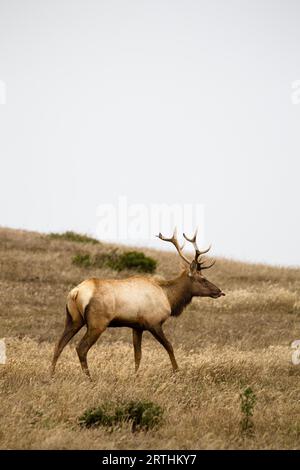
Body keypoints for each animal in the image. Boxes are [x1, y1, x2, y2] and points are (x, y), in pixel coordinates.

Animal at [50, 229, 224, 380]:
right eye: (203, 279)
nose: (220, 291)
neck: (169, 297)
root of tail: (76, 292)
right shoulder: (154, 323)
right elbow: (169, 346)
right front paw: (176, 372)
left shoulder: (137, 326)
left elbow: (138, 354)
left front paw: (136, 375)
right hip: (97, 323)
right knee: (81, 348)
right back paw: (89, 378)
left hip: (73, 319)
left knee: (59, 344)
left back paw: (51, 374)